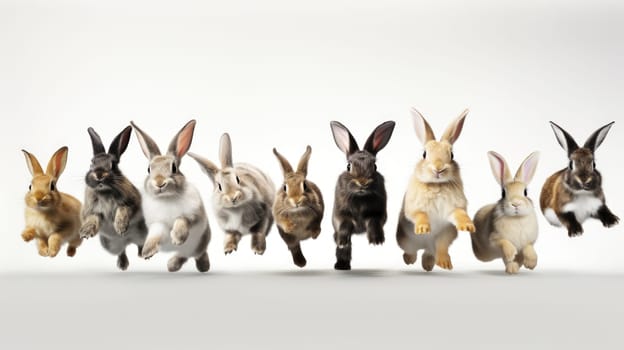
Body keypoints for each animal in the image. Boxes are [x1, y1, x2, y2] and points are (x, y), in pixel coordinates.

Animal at [79, 126, 149, 270]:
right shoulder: (93, 210)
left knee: (139, 244)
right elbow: (93, 218)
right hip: (110, 246)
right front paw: (86, 232)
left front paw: (120, 227)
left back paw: (141, 253)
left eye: (113, 164)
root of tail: (127, 241)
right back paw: (122, 265)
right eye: (91, 164)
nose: (99, 175)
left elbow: (123, 209)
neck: (104, 191)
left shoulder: (131, 203)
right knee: (121, 251)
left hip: (142, 234)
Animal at [130, 120, 211, 274]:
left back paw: (203, 266)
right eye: (148, 169)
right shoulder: (157, 224)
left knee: (196, 254)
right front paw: (147, 251)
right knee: (185, 255)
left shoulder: (195, 216)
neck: (166, 197)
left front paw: (177, 238)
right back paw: (173, 265)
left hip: (199, 243)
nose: (159, 183)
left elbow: (182, 219)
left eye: (174, 168)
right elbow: (156, 234)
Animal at [326, 120, 394, 270]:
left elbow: (374, 222)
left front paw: (377, 241)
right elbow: (344, 224)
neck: (360, 197)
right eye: (348, 166)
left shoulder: (378, 213)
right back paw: (341, 265)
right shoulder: (340, 214)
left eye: (374, 166)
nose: (363, 182)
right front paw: (342, 240)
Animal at [394, 108, 472, 272]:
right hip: (406, 240)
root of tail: (424, 245)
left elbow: (459, 214)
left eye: (452, 154)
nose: (438, 168)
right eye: (424, 154)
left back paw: (438, 264)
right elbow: (420, 214)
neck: (437, 185)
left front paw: (468, 225)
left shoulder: (454, 208)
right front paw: (423, 228)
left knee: (436, 250)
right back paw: (409, 260)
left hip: (445, 235)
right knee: (412, 251)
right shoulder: (414, 208)